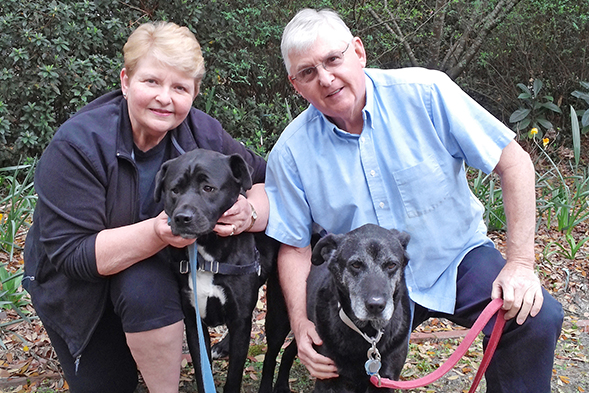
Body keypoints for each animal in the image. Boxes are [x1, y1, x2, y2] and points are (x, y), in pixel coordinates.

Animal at [154, 149, 288, 392]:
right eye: (175, 190)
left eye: (208, 188)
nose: (182, 218)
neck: (208, 255)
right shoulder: (194, 322)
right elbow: (201, 371)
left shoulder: (240, 319)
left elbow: (233, 377)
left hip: (278, 311)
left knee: (272, 354)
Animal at [282, 224, 412, 392]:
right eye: (355, 264)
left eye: (391, 265)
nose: (376, 306)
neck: (366, 332)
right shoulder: (328, 380)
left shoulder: (385, 382)